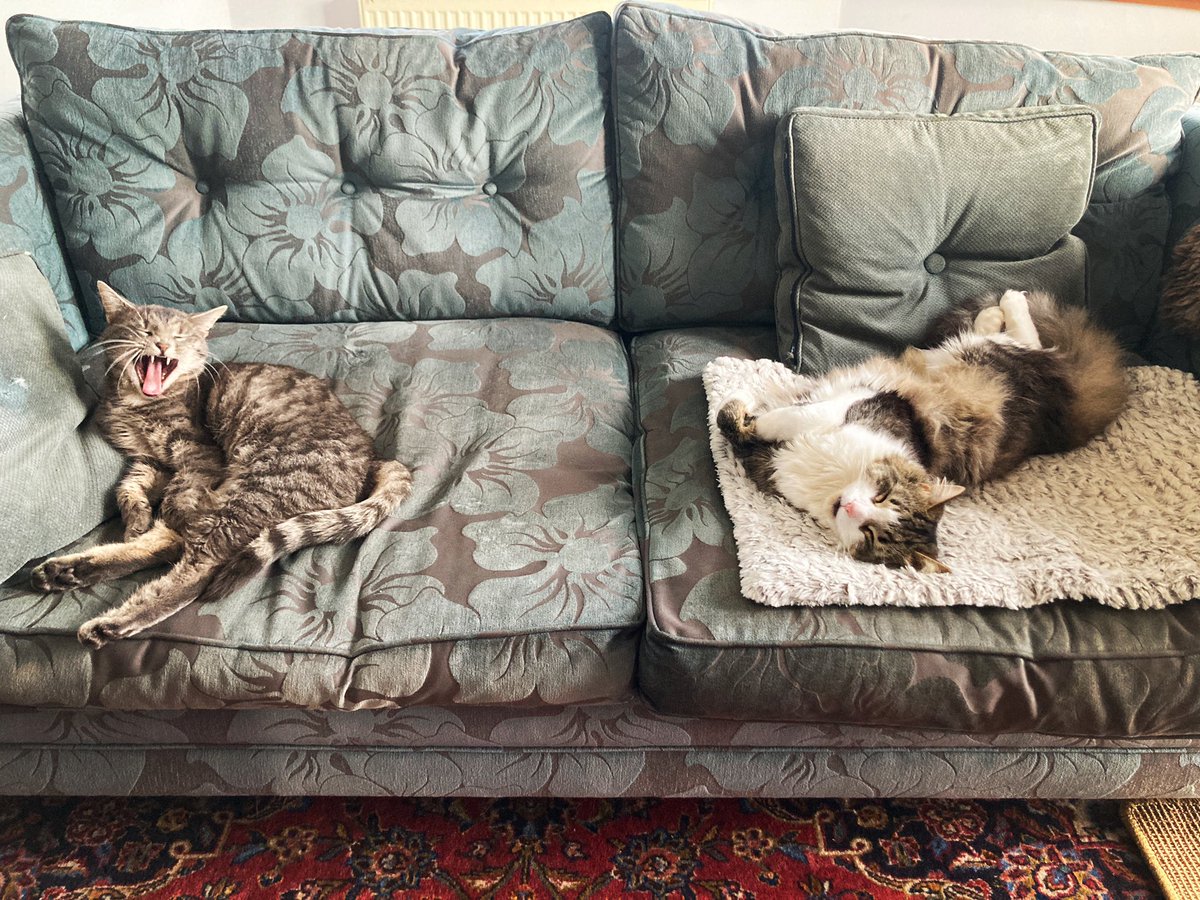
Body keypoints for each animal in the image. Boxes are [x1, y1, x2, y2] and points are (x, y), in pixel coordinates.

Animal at [30, 283, 412, 648]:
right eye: (144, 328)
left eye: (179, 336)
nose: (163, 344)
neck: (136, 405)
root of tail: (372, 456)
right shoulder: (150, 461)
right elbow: (128, 487)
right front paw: (136, 519)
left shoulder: (198, 454)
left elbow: (177, 495)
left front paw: (166, 510)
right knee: (174, 543)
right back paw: (66, 570)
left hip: (258, 488)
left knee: (196, 564)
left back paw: (108, 620)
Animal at [715, 290, 1128, 571]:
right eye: (882, 495)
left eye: (872, 534)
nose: (851, 507)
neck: (832, 479)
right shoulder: (863, 404)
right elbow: (756, 421)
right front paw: (747, 405)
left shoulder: (854, 411)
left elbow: (769, 423)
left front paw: (752, 410)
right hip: (977, 358)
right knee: (1018, 337)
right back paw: (999, 306)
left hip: (989, 359)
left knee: (1025, 340)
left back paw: (1002, 306)